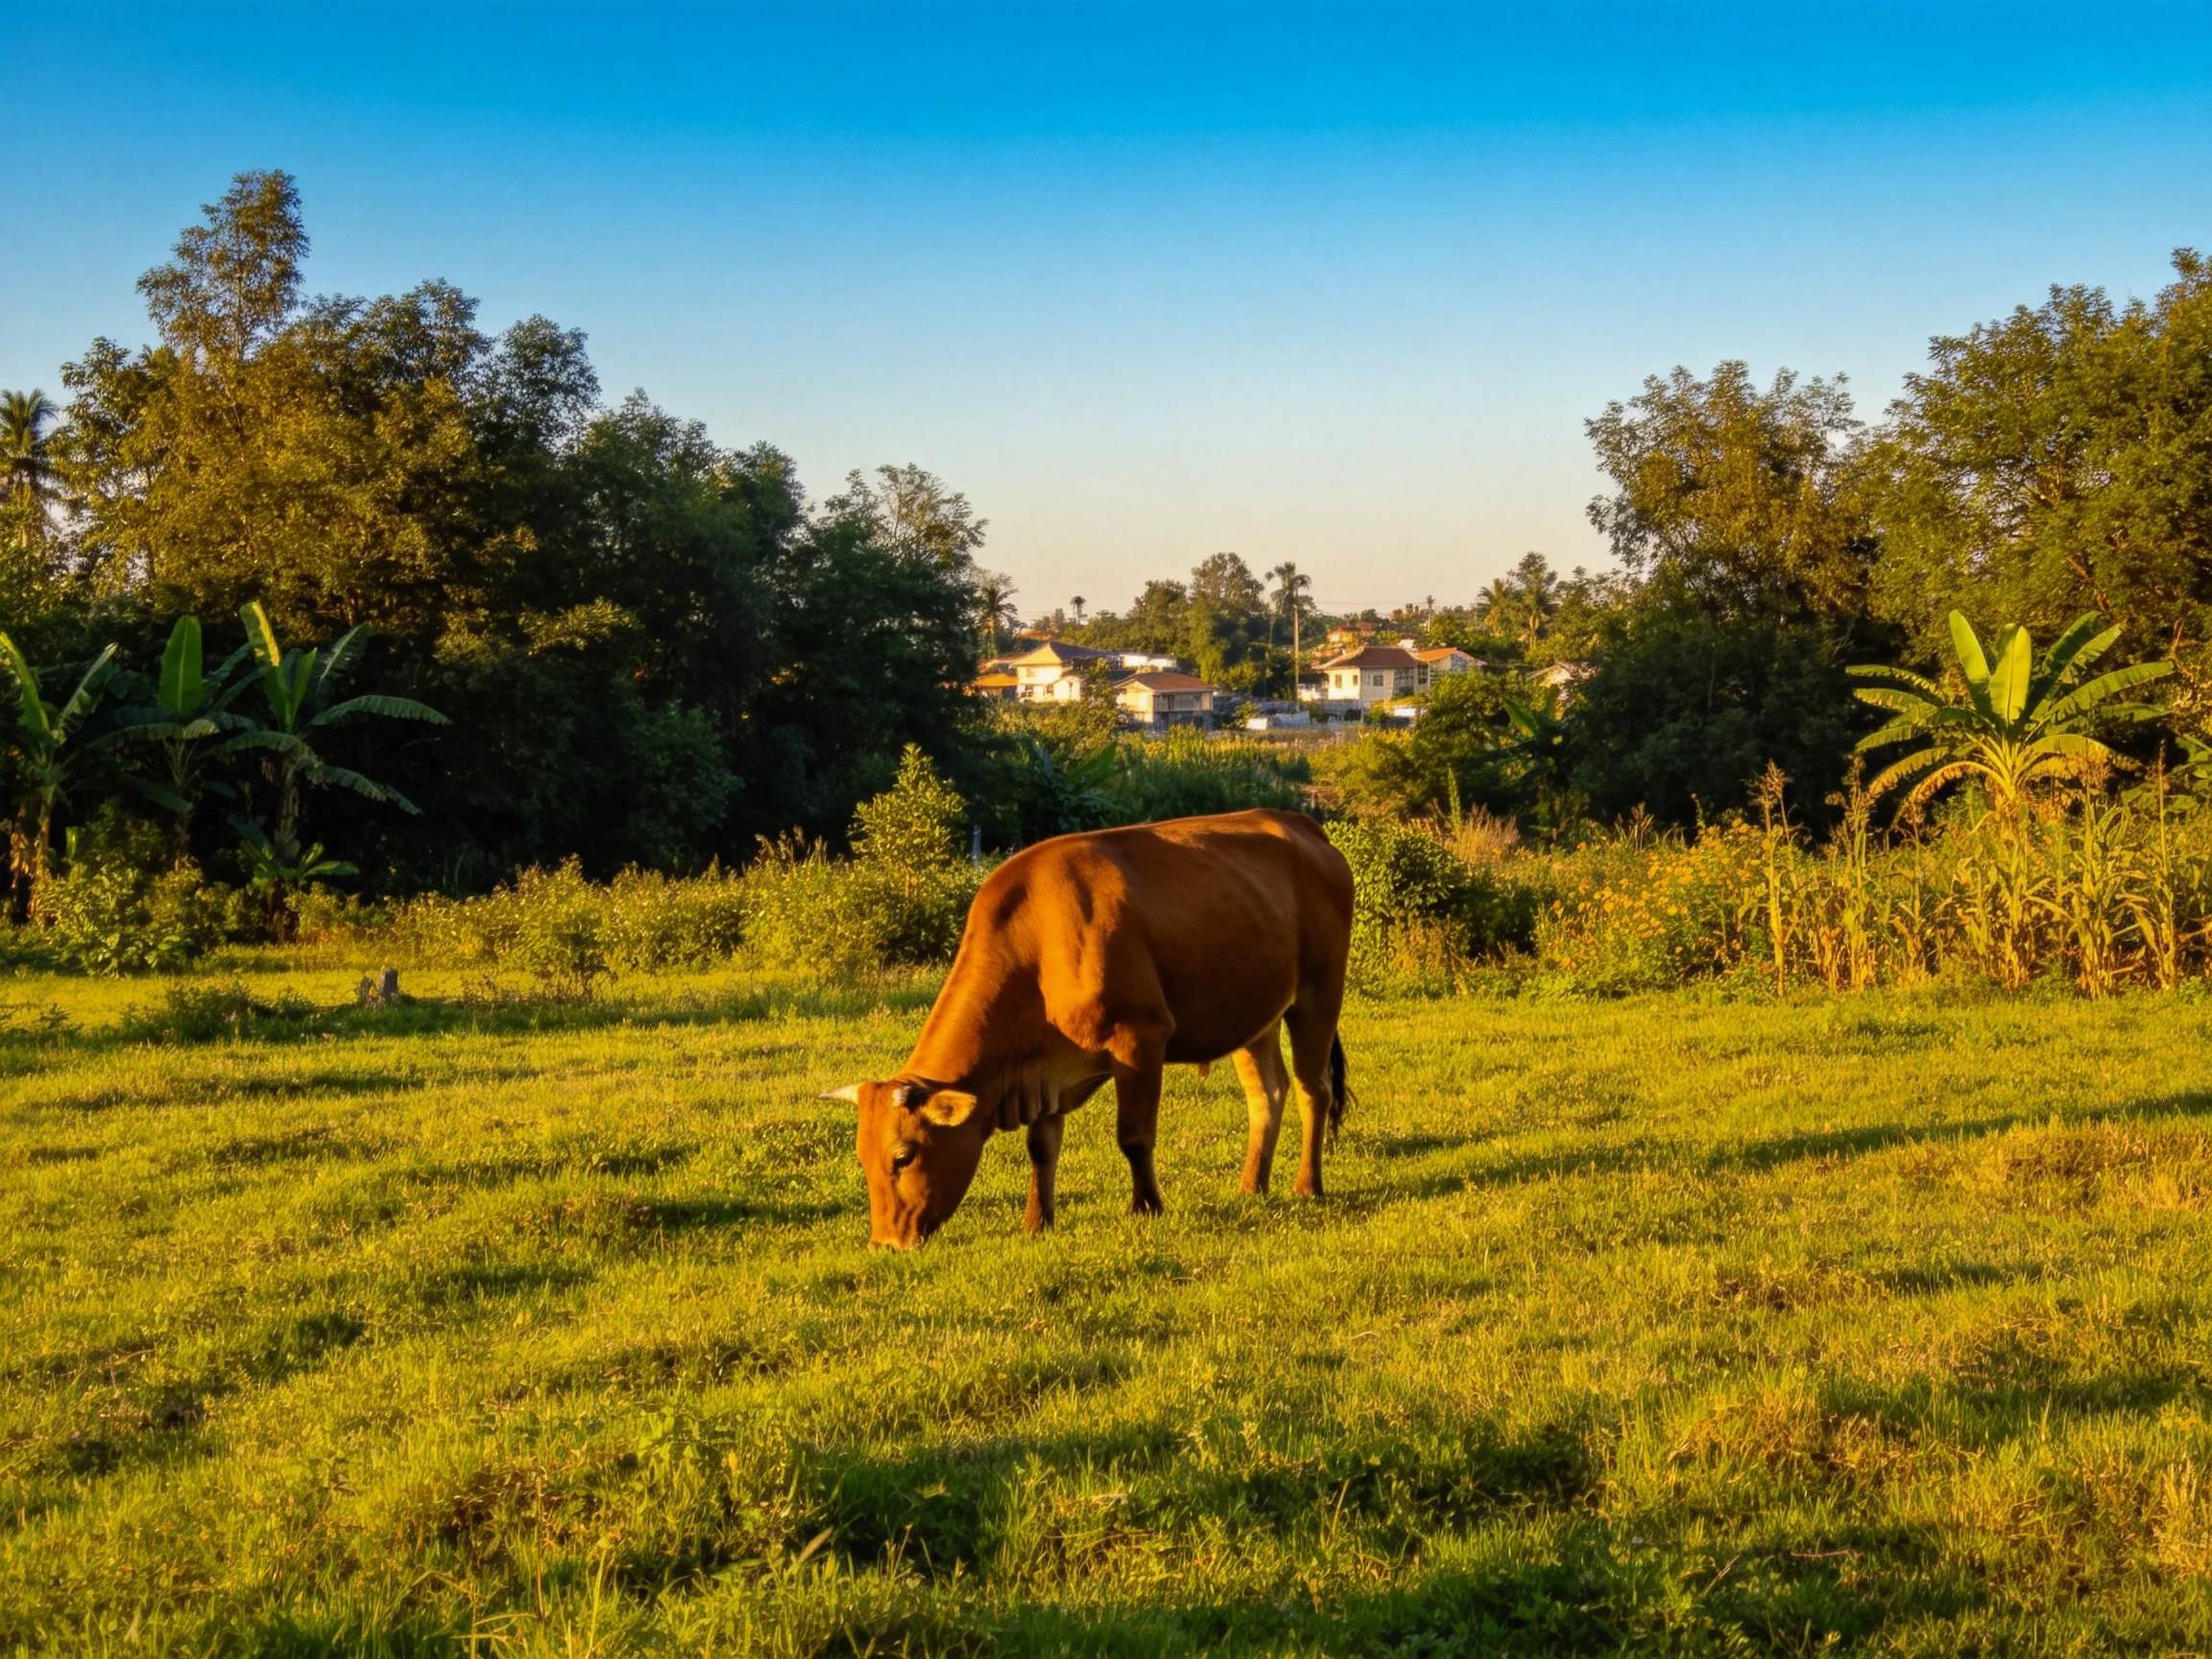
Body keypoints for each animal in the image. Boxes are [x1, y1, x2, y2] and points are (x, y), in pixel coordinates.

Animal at [821, 808, 1355, 1249]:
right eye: (862, 1159)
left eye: (903, 1156)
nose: (886, 1243)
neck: (1038, 947)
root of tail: (1300, 824)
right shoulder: (1043, 1072)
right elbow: (1041, 1147)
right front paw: (1037, 1220)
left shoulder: (1140, 1039)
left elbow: (1134, 1136)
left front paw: (1146, 1207)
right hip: (1252, 1013)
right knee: (1268, 1093)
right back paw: (1252, 1185)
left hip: (1319, 994)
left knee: (1314, 1089)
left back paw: (1307, 1185)